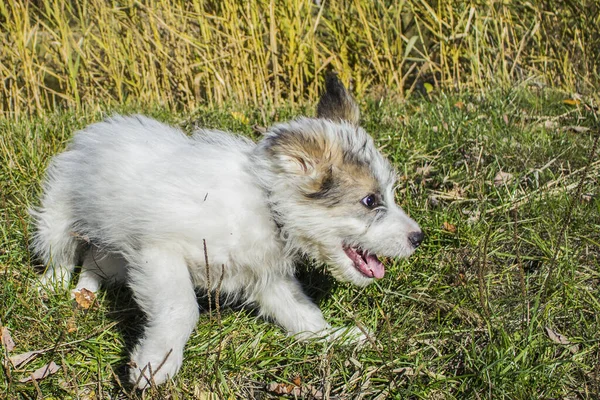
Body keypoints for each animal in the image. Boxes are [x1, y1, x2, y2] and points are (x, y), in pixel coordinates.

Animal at [31, 75, 422, 388]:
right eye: (370, 200)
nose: (418, 238)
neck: (266, 205)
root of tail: (95, 131)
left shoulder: (270, 281)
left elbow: (304, 317)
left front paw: (335, 337)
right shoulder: (159, 253)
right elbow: (181, 307)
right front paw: (156, 362)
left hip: (112, 250)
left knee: (94, 263)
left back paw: (84, 294)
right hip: (57, 219)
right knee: (60, 259)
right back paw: (50, 288)